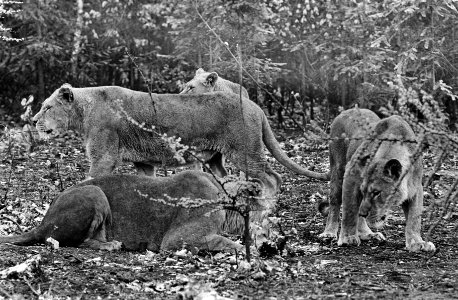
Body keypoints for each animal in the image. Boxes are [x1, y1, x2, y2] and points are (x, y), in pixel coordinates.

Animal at [0, 170, 280, 252]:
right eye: (268, 214)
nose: (271, 236)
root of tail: (43, 220)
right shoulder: (176, 239)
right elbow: (226, 242)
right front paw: (255, 251)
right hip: (95, 192)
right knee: (76, 242)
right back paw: (111, 245)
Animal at [33, 84, 330, 196]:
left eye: (47, 108)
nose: (33, 120)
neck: (83, 111)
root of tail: (255, 106)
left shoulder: (103, 157)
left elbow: (92, 179)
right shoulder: (144, 162)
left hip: (245, 152)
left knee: (272, 177)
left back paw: (266, 204)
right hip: (216, 157)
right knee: (227, 177)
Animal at [320, 109, 434, 252]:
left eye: (376, 192)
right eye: (364, 191)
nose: (363, 213)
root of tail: (346, 111)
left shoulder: (415, 188)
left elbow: (414, 218)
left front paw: (417, 243)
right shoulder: (351, 175)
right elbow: (350, 210)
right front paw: (348, 238)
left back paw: (368, 234)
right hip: (337, 169)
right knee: (335, 202)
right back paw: (329, 233)